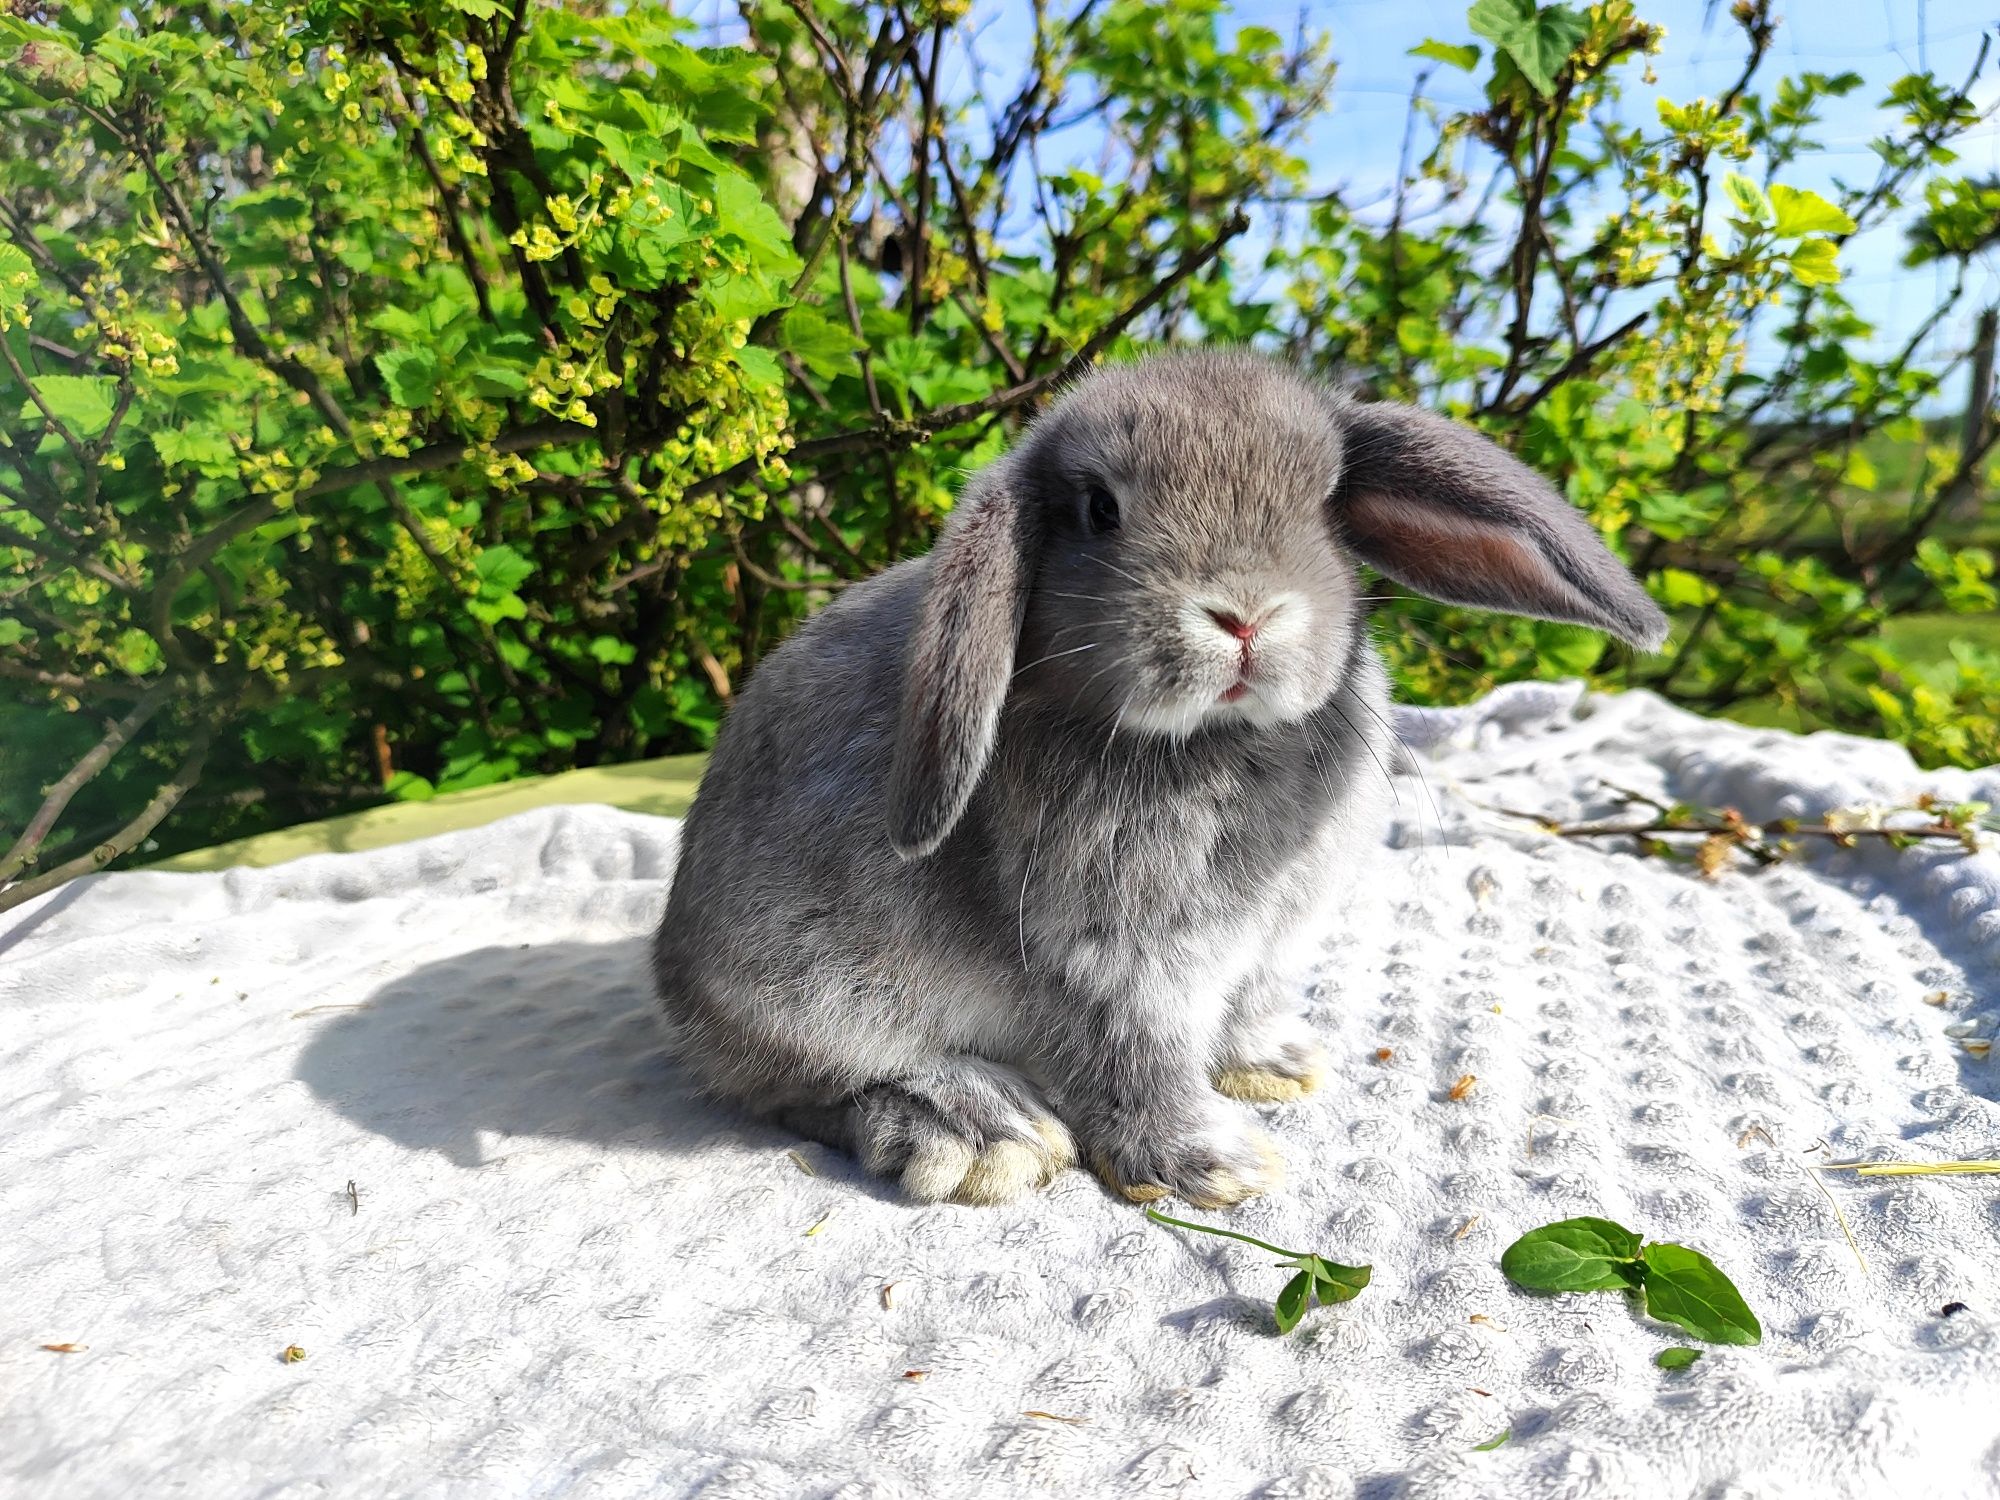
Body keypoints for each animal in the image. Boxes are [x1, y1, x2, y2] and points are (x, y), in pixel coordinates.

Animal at [648, 352, 1664, 1208]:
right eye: (1102, 509)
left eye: (1326, 500)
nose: (1245, 615)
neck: (1215, 738)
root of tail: (679, 986)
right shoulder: (1120, 963)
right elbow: (1140, 1063)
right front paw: (1218, 1166)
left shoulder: (1268, 944)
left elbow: (1245, 1011)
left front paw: (1275, 1067)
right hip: (810, 989)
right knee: (809, 1086)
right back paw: (981, 1132)